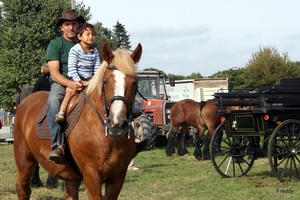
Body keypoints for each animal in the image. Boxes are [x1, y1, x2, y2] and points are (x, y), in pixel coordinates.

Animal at [14, 43, 144, 199]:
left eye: (134, 83)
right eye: (105, 82)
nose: (117, 123)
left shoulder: (118, 177)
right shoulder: (91, 175)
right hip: (24, 161)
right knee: (23, 189)